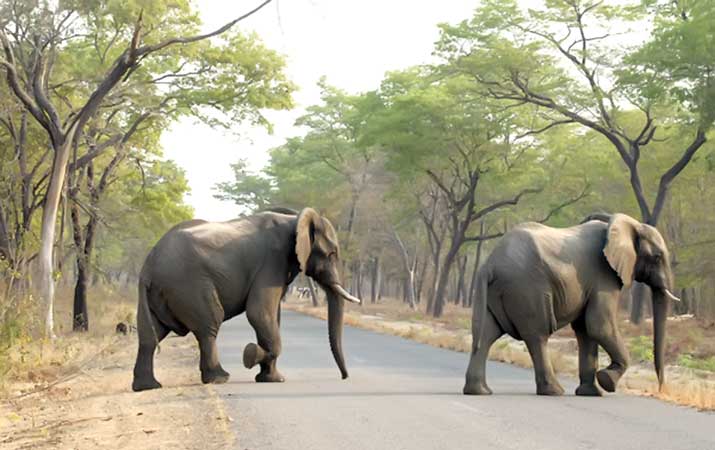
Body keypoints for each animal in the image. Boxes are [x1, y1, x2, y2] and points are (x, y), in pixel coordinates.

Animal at [131, 207, 360, 390]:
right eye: (331, 254)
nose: (344, 377)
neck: (295, 218)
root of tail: (148, 267)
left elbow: (271, 317)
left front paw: (271, 379)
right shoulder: (272, 262)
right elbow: (259, 314)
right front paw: (250, 355)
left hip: (162, 293)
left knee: (150, 335)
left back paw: (147, 387)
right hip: (189, 285)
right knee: (209, 325)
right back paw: (220, 378)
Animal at [464, 213, 684, 396]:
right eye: (657, 257)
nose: (661, 388)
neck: (627, 225)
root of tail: (489, 264)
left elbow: (585, 330)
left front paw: (592, 393)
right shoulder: (603, 276)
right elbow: (599, 325)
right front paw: (607, 381)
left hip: (498, 291)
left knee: (486, 334)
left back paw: (479, 391)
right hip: (526, 289)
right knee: (537, 335)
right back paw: (554, 391)